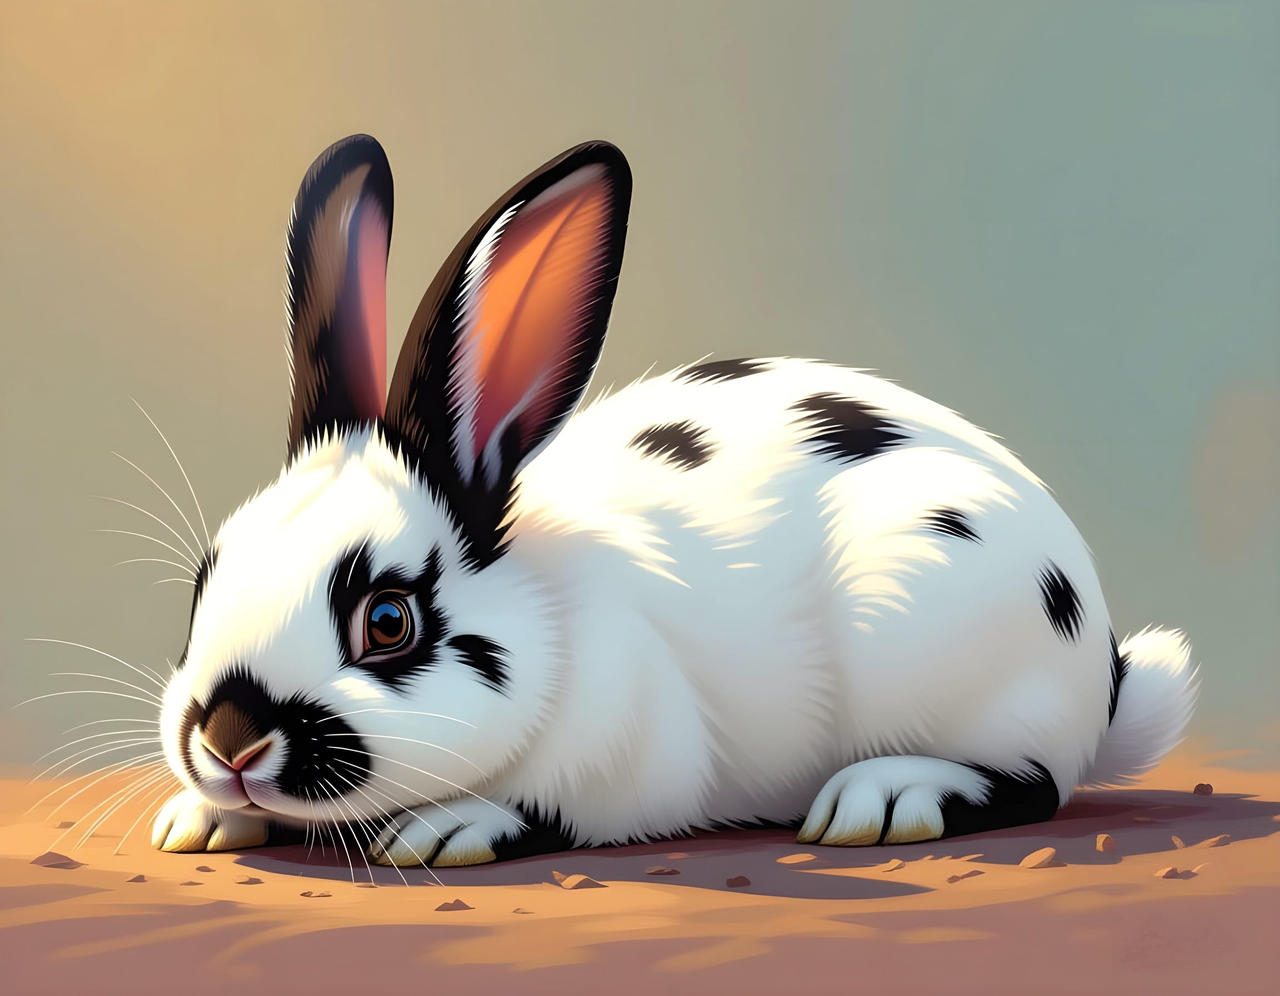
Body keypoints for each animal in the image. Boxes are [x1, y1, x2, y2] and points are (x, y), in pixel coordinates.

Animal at [151, 134, 1198, 867]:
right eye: (204, 584)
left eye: (388, 620)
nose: (230, 740)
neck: (549, 613)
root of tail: (1104, 673)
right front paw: (194, 820)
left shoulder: (631, 755)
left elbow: (554, 807)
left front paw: (448, 826)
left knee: (1033, 781)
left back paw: (885, 797)